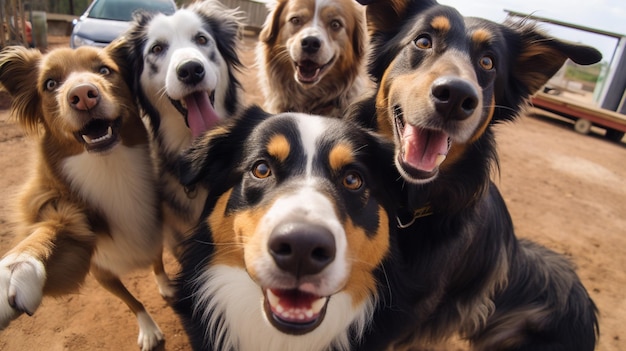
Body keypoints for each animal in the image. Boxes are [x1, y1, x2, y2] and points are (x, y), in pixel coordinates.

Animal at [0, 45, 171, 351]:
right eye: (50, 84)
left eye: (104, 70)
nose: (82, 95)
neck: (109, 168)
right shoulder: (92, 261)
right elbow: (132, 301)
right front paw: (15, 269)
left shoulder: (154, 232)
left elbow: (157, 261)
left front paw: (165, 285)